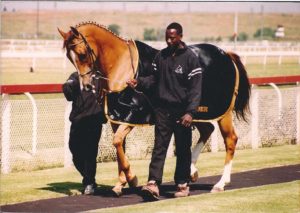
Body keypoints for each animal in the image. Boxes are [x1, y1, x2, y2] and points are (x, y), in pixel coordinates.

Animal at [57, 21, 250, 195]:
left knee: (230, 139)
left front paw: (132, 179)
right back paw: (191, 172)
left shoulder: (133, 115)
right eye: (69, 57)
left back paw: (220, 183)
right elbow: (119, 146)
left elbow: (117, 142)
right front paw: (121, 183)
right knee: (207, 129)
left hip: (223, 114)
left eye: (82, 54)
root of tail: (226, 55)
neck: (123, 67)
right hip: (196, 113)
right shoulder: (117, 118)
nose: (86, 86)